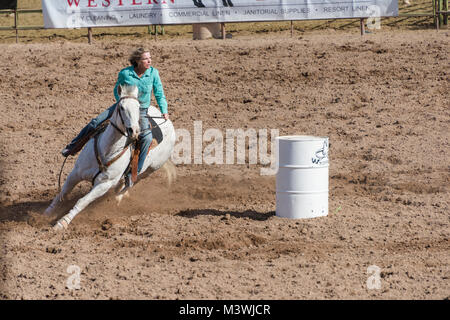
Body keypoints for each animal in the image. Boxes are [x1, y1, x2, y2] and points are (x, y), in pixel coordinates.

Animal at [44, 85, 176, 230]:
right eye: (121, 107)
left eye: (138, 107)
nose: (134, 131)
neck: (107, 151)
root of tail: (168, 122)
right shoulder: (76, 173)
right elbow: (63, 193)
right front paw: (47, 213)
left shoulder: (104, 185)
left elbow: (82, 201)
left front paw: (62, 222)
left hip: (150, 169)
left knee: (133, 181)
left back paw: (118, 197)